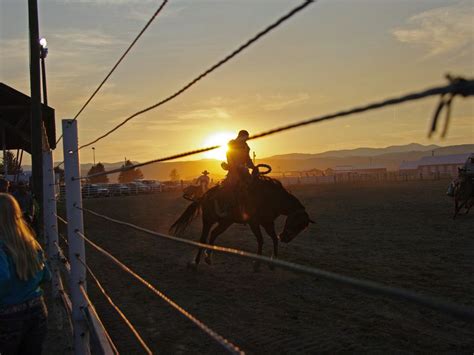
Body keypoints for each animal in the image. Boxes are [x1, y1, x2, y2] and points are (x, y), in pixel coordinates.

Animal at [171, 165, 314, 272]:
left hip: (226, 222)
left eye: (302, 227)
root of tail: (205, 196)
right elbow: (261, 240)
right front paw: (257, 264)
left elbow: (273, 238)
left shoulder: (267, 222)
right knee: (203, 238)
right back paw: (195, 263)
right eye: (297, 223)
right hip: (208, 219)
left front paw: (272, 263)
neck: (270, 197)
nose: (285, 238)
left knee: (213, 234)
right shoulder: (254, 223)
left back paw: (208, 258)